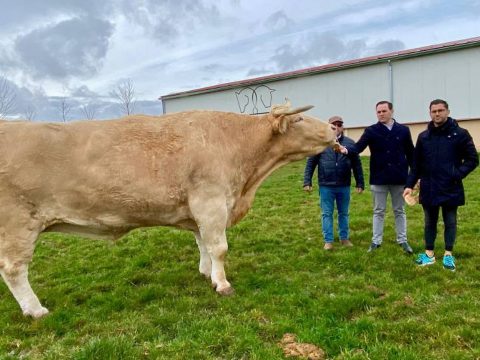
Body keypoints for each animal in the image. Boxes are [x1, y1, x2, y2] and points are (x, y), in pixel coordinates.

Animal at [0, 100, 336, 316]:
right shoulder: (212, 201)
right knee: (14, 269)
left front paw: (206, 274)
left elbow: (203, 244)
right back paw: (36, 310)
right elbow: (219, 247)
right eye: (300, 120)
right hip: (17, 223)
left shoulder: (199, 209)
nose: (335, 129)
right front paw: (223, 284)